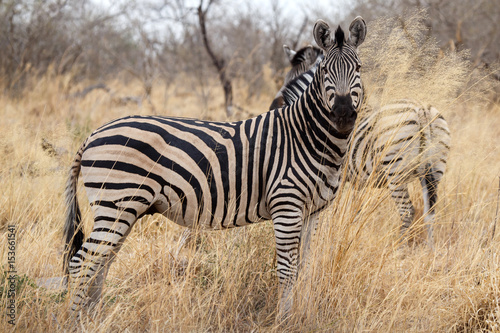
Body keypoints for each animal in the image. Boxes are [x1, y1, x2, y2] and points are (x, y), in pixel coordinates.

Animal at [62, 16, 368, 318]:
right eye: (325, 71)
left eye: (359, 68)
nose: (342, 115)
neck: (306, 136)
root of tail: (92, 134)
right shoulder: (287, 205)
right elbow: (287, 269)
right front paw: (284, 320)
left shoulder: (313, 211)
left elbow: (303, 266)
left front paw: (299, 315)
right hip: (115, 202)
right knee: (82, 262)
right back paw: (74, 320)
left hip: (125, 209)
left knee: (101, 262)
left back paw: (94, 318)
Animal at [270, 45, 450, 248]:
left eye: (290, 78)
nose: (273, 105)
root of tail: (422, 111)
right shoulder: (354, 182)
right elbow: (351, 212)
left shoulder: (333, 178)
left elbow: (331, 213)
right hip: (434, 171)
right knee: (430, 213)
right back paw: (431, 250)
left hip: (395, 172)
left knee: (407, 211)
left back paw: (399, 249)